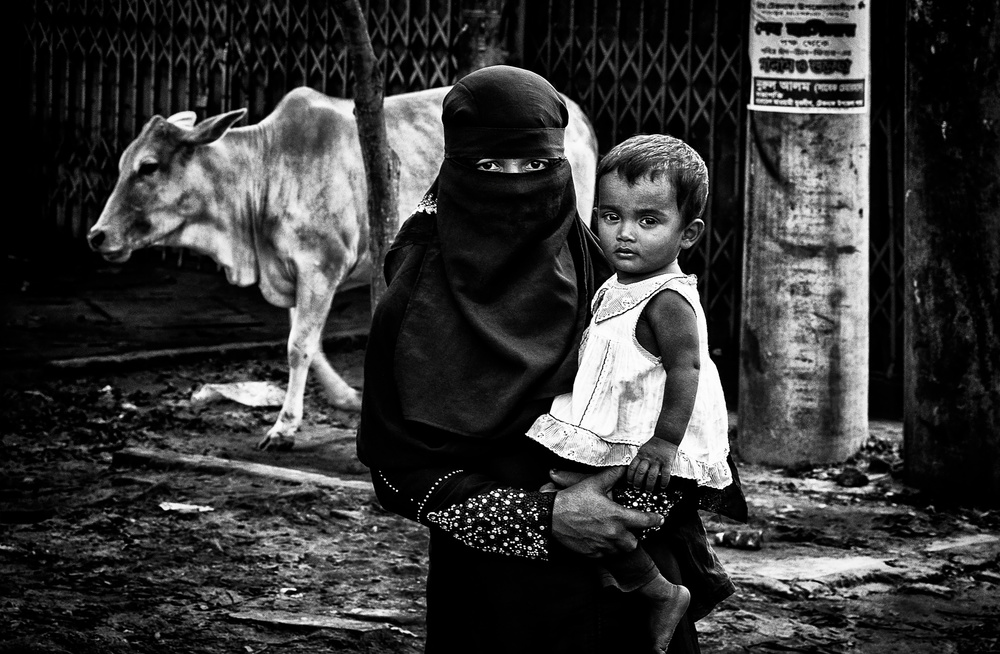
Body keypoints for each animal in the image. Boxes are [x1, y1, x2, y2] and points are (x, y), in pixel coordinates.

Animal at [90, 83, 596, 452]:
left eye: (149, 167)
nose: (97, 236)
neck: (263, 173)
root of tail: (578, 112)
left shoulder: (320, 265)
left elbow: (298, 346)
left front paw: (283, 428)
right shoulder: (294, 274)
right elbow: (308, 344)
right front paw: (345, 398)